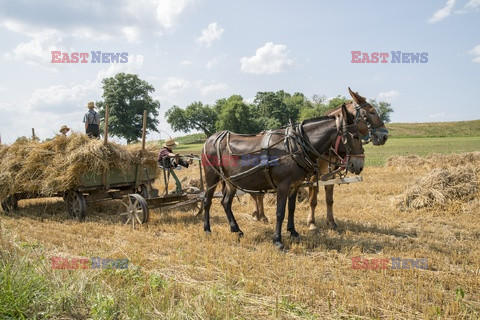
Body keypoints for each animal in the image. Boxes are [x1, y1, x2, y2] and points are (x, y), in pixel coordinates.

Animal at [202, 104, 364, 249]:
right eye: (356, 136)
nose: (360, 165)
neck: (294, 146)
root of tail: (210, 139)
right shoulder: (283, 186)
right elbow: (280, 212)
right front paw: (278, 241)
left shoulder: (295, 185)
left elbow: (291, 208)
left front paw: (293, 232)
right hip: (212, 177)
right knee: (207, 201)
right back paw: (207, 229)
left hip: (231, 181)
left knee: (226, 203)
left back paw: (236, 229)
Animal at [249, 87, 388, 229]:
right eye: (372, 112)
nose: (384, 136)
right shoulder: (313, 176)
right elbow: (313, 200)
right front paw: (312, 223)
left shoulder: (330, 175)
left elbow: (329, 199)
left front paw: (331, 222)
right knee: (257, 194)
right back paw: (259, 215)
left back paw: (259, 214)